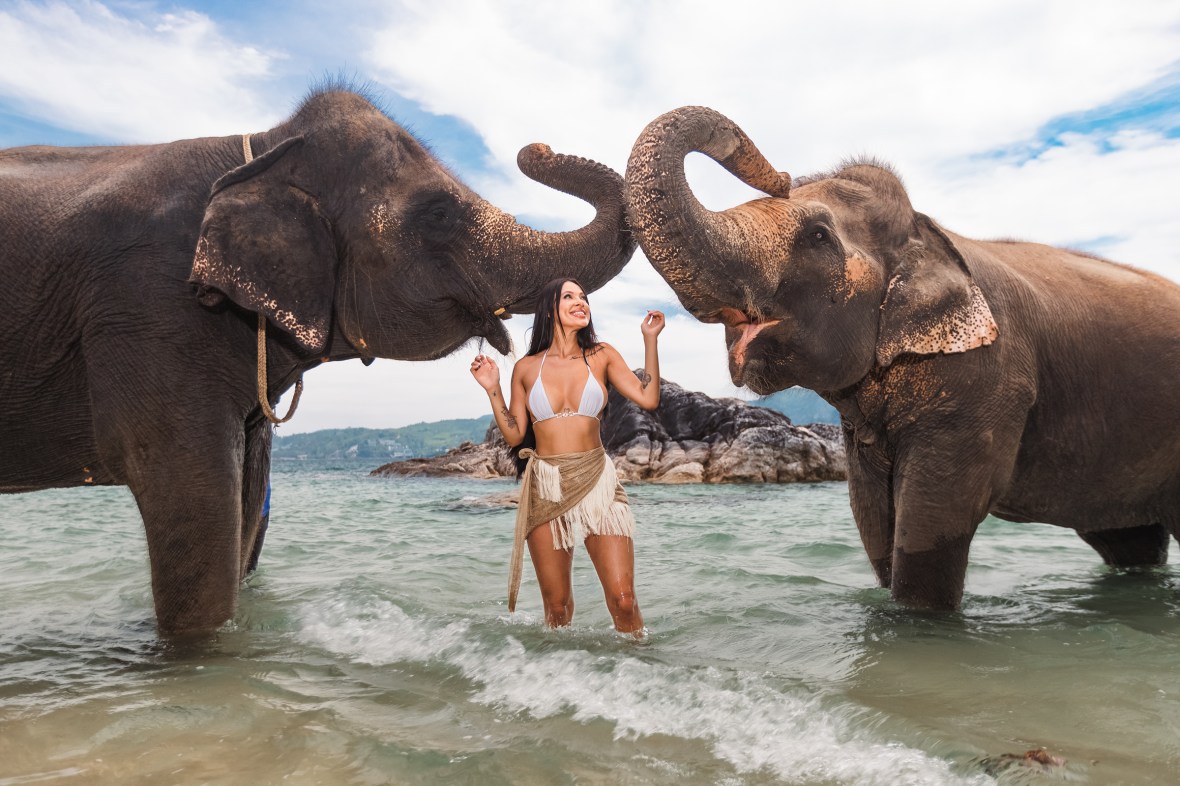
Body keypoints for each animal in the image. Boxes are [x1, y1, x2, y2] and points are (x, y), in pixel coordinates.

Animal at [0, 86, 635, 635]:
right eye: (437, 214)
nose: (537, 147)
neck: (262, 145)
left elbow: (246, 503)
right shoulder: (147, 308)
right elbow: (196, 501)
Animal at [626, 105, 1180, 610]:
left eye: (818, 236)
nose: (778, 175)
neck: (928, 233)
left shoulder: (988, 381)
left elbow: (934, 519)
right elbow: (873, 518)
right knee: (1129, 538)